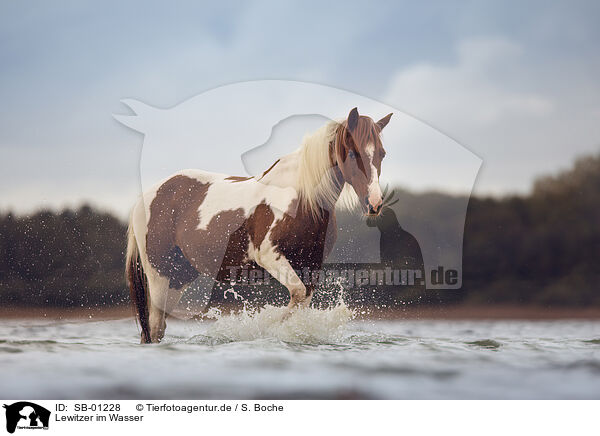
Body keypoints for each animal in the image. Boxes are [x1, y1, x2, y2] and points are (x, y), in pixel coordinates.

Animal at [125, 107, 394, 342]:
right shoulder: (269, 255)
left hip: (179, 276)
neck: (303, 198)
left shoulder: (311, 265)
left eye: (382, 154)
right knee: (154, 327)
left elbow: (302, 302)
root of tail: (148, 195)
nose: (374, 203)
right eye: (352, 153)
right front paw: (267, 329)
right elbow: (296, 296)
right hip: (159, 275)